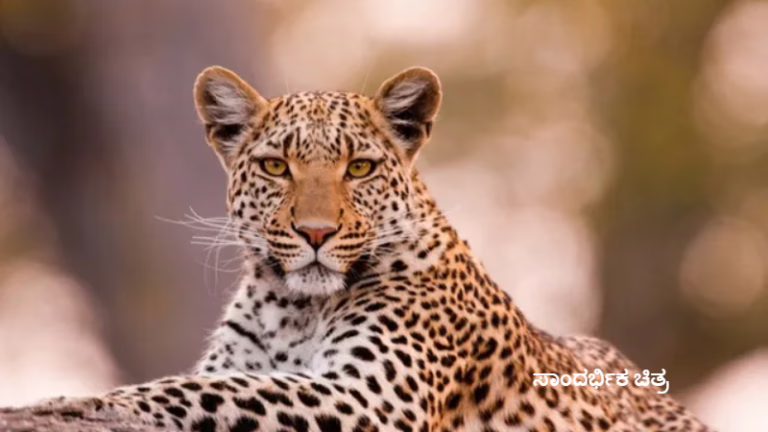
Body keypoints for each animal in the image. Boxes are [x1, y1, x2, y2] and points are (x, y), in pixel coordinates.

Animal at [0, 66, 711, 432]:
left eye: (360, 168)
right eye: (277, 167)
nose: (316, 234)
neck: (292, 307)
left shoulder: (370, 394)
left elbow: (202, 391)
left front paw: (70, 403)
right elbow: (215, 381)